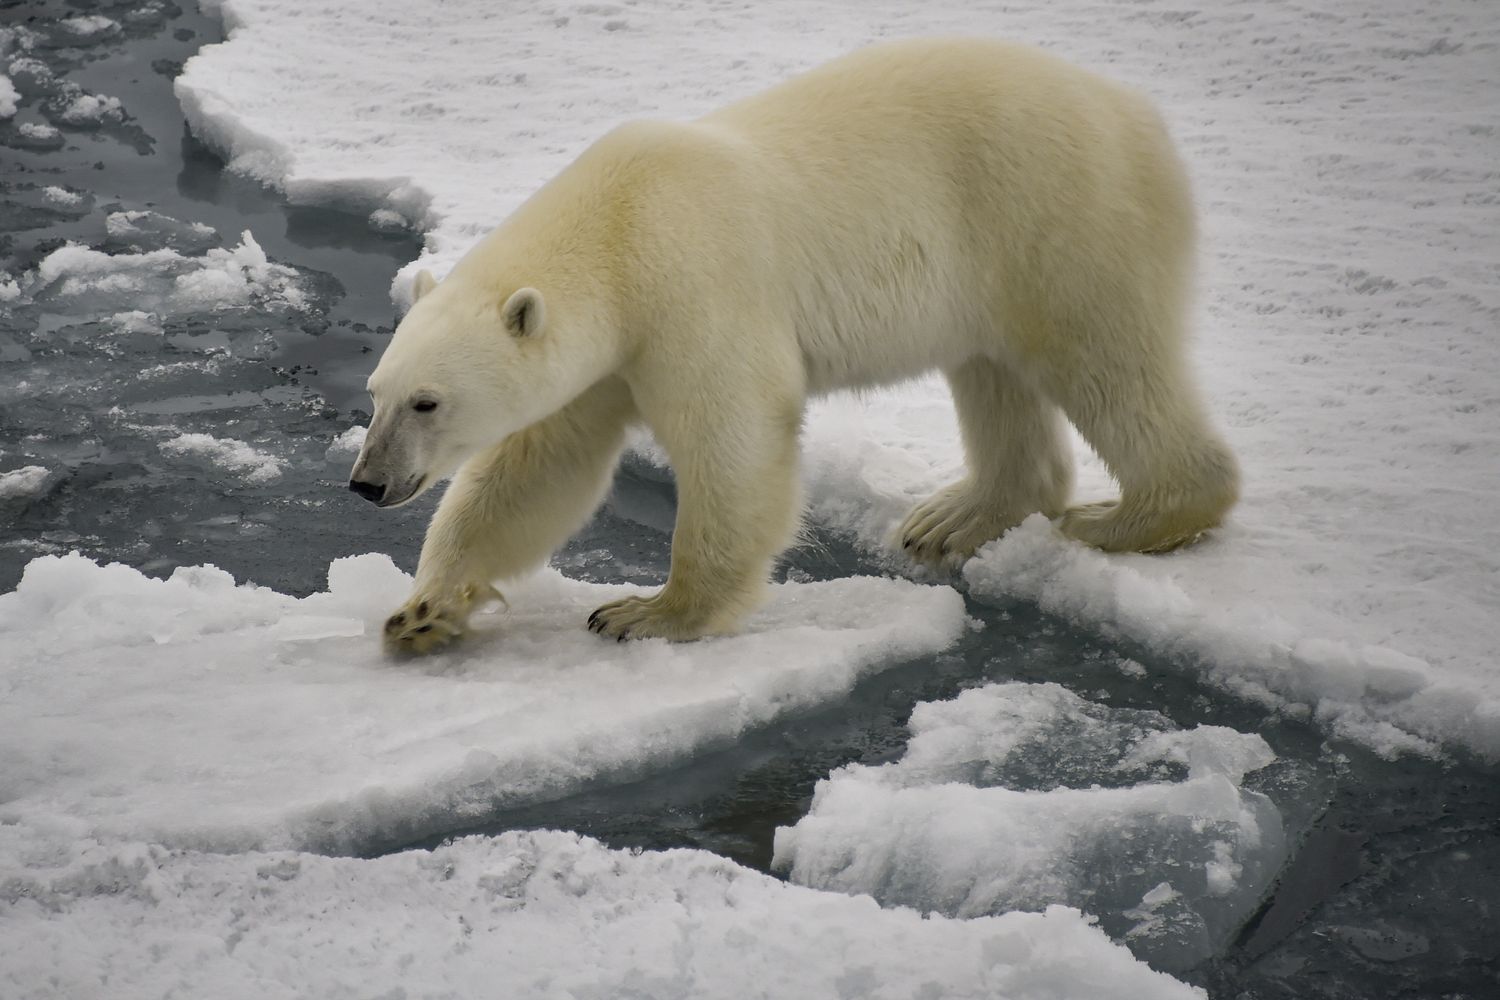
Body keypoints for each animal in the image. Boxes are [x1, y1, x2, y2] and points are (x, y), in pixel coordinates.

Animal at [349, 37, 1239, 654]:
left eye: (428, 402)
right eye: (377, 394)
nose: (365, 483)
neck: (619, 226)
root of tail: (1137, 114)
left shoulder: (694, 292)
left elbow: (735, 440)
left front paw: (647, 612)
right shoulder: (606, 358)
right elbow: (537, 469)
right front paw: (423, 610)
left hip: (1056, 215)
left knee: (1106, 360)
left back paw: (1126, 518)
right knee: (994, 375)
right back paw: (953, 518)